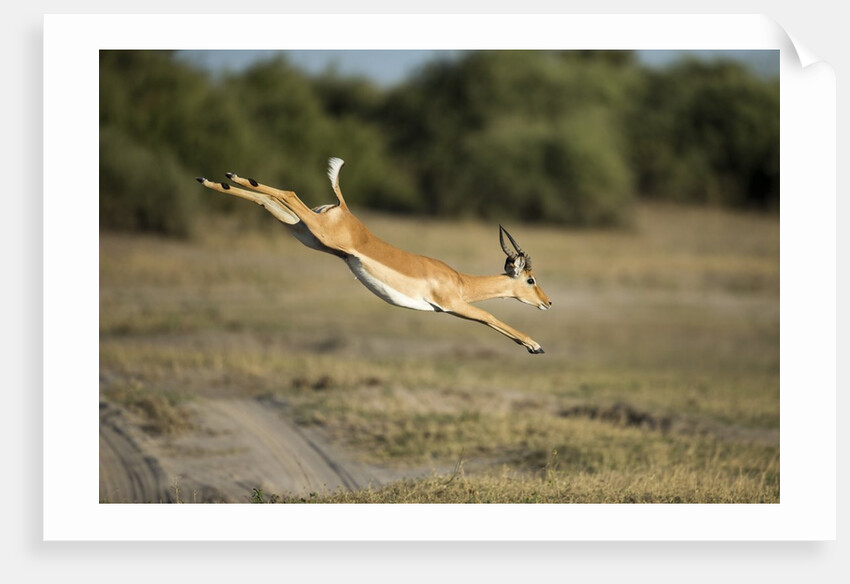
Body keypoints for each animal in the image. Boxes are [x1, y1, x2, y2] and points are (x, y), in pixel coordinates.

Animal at [195, 158, 552, 353]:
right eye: (531, 279)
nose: (548, 303)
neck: (460, 281)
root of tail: (343, 209)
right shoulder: (453, 306)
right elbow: (491, 317)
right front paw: (536, 345)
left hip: (306, 233)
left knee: (267, 201)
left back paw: (216, 180)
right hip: (315, 231)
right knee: (289, 193)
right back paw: (228, 177)